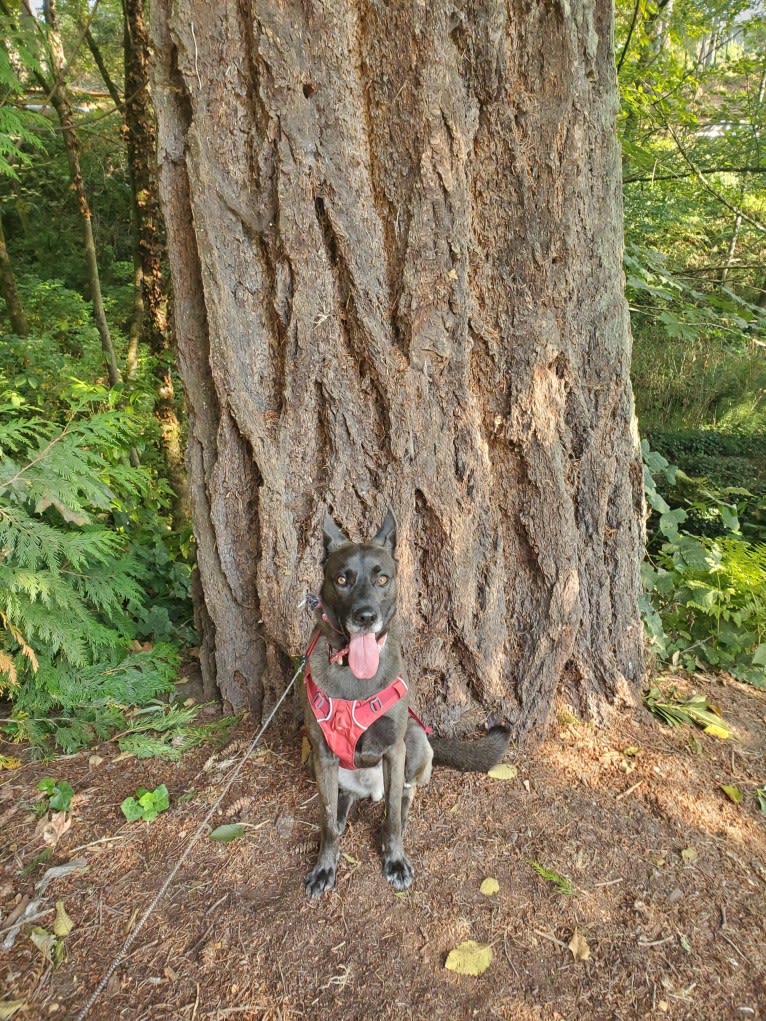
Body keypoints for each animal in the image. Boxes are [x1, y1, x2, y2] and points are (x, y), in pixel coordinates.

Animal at [300, 508, 510, 894]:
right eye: (342, 579)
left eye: (382, 579)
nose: (365, 617)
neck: (355, 674)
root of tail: (371, 790)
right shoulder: (322, 755)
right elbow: (327, 821)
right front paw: (324, 867)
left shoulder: (395, 748)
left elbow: (393, 819)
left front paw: (394, 858)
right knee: (344, 804)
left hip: (414, 739)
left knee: (404, 796)